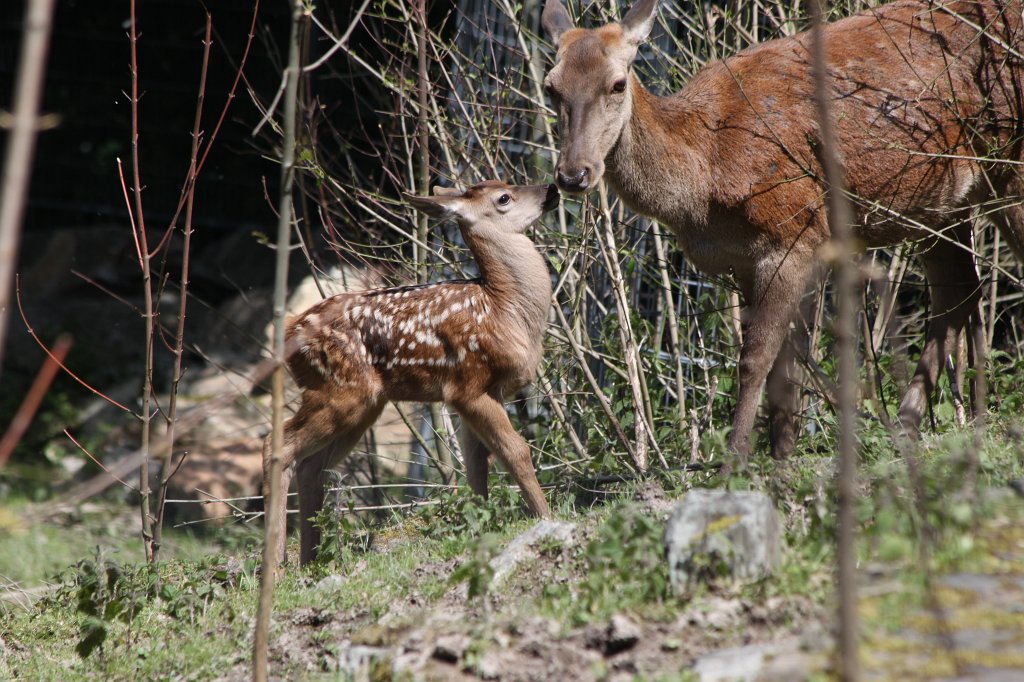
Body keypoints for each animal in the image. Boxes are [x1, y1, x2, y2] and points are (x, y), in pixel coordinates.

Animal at [263, 180, 558, 565]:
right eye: (504, 198)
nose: (551, 188)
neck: (504, 309)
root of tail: (289, 331)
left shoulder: (479, 394)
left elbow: (478, 463)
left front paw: (482, 524)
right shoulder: (467, 385)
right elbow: (516, 450)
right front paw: (546, 517)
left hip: (363, 404)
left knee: (311, 465)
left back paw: (309, 560)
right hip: (339, 391)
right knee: (277, 445)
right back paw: (277, 564)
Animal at [541, 0, 1024, 464]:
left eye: (617, 84)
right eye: (551, 86)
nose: (572, 174)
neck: (705, 173)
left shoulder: (794, 231)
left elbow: (757, 359)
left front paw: (737, 459)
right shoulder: (747, 260)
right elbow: (783, 362)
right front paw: (780, 453)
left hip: (1006, 168)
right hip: (939, 204)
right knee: (959, 290)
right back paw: (911, 424)